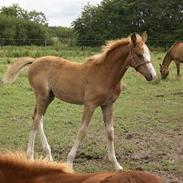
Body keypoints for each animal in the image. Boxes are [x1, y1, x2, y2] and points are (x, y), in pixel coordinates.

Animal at [2, 31, 157, 170]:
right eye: (139, 54)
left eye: (148, 53)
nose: (152, 75)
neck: (105, 74)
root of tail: (34, 61)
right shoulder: (90, 105)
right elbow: (82, 131)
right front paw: (69, 163)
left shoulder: (108, 105)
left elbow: (110, 132)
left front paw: (116, 165)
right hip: (42, 96)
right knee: (36, 120)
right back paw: (30, 157)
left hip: (49, 97)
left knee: (37, 118)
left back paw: (49, 156)